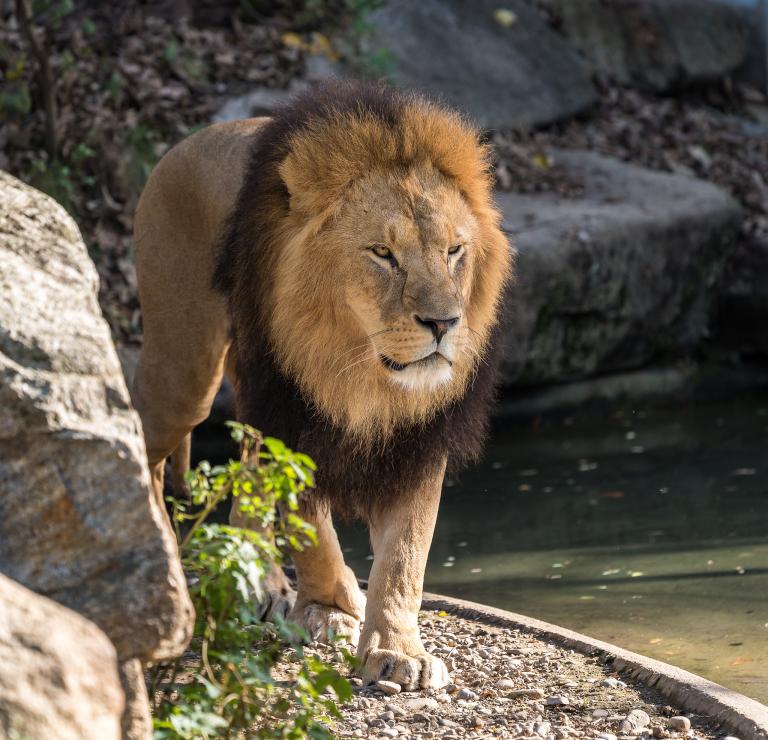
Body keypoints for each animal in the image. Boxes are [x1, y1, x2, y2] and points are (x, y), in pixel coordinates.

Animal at [132, 79, 512, 688]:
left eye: (455, 251)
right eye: (383, 254)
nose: (444, 323)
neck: (358, 368)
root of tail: (188, 142)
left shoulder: (420, 439)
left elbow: (406, 554)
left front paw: (396, 649)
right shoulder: (293, 414)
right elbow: (311, 528)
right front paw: (334, 610)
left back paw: (260, 581)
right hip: (184, 369)